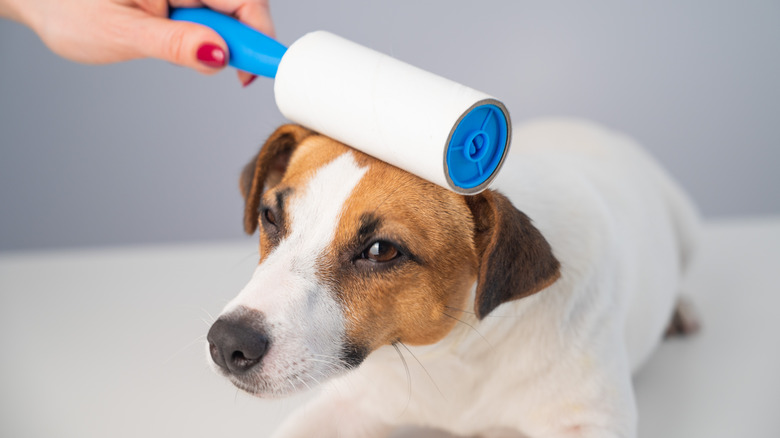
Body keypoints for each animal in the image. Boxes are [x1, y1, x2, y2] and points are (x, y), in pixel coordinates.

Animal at [204, 118, 696, 436]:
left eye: (381, 250)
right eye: (270, 216)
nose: (227, 343)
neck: (454, 353)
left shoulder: (587, 420)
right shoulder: (347, 405)